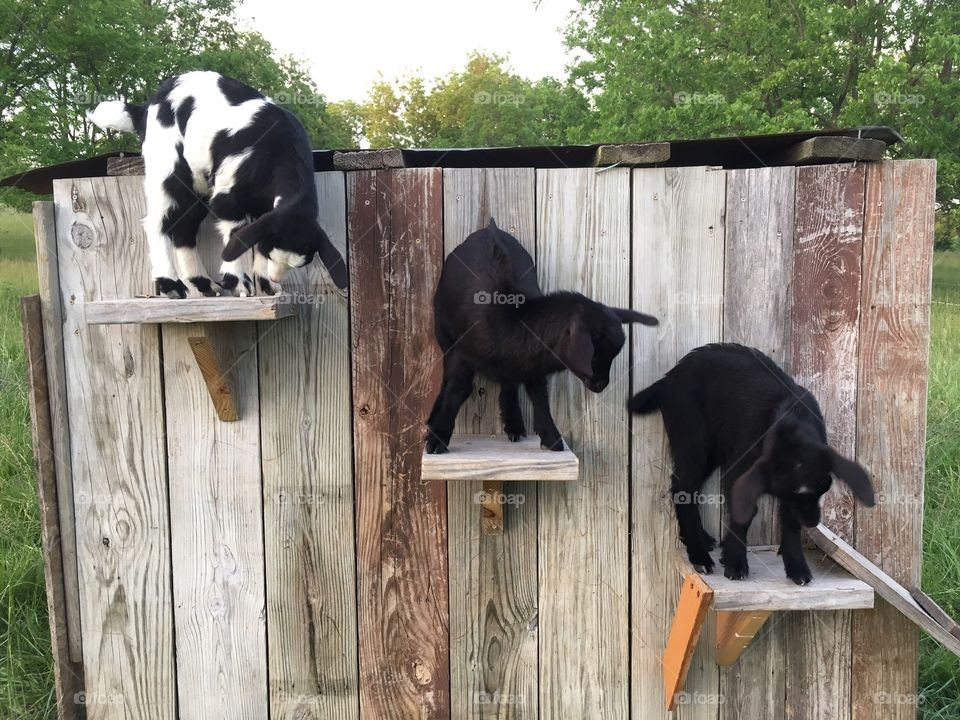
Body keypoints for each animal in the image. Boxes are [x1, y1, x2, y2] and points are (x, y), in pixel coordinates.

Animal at [89, 71, 348, 298]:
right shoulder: (229, 194)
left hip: (199, 185)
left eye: (299, 263)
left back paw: (203, 283)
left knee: (183, 228)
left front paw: (267, 286)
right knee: (157, 222)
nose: (275, 278)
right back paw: (171, 284)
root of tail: (144, 109)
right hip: (168, 165)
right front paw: (240, 283)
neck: (281, 152)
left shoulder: (266, 209)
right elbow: (236, 232)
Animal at [426, 218, 658, 454]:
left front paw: (551, 437)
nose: (601, 384)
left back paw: (514, 424)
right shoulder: (461, 354)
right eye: (594, 355)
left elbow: (539, 396)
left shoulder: (532, 363)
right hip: (443, 333)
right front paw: (438, 438)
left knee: (509, 385)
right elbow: (457, 389)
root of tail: (490, 228)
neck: (512, 319)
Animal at [629, 343, 875, 585]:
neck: (792, 422)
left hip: (710, 452)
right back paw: (699, 554)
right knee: (683, 488)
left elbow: (789, 522)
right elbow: (744, 516)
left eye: (823, 491)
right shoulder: (739, 473)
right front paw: (735, 562)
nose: (813, 522)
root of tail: (668, 378)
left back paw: (703, 539)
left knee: (691, 489)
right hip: (693, 443)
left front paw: (796, 566)